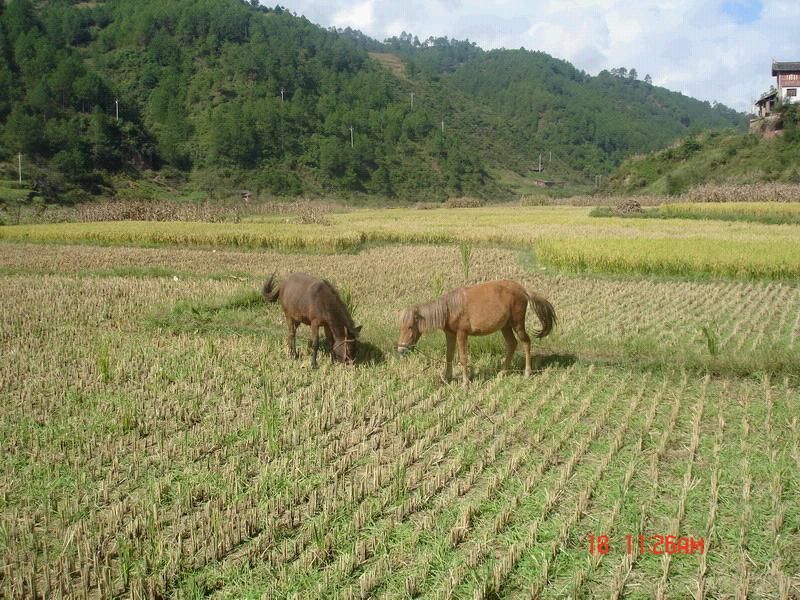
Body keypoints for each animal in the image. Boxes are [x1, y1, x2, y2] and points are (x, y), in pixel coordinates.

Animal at [396, 278, 556, 382]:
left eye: (410, 327)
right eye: (401, 327)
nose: (401, 350)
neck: (449, 309)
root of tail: (522, 289)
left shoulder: (462, 334)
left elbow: (463, 358)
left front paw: (465, 384)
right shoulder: (450, 335)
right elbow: (449, 355)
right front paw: (447, 378)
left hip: (517, 324)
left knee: (526, 342)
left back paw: (527, 373)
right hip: (505, 326)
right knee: (512, 344)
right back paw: (502, 373)